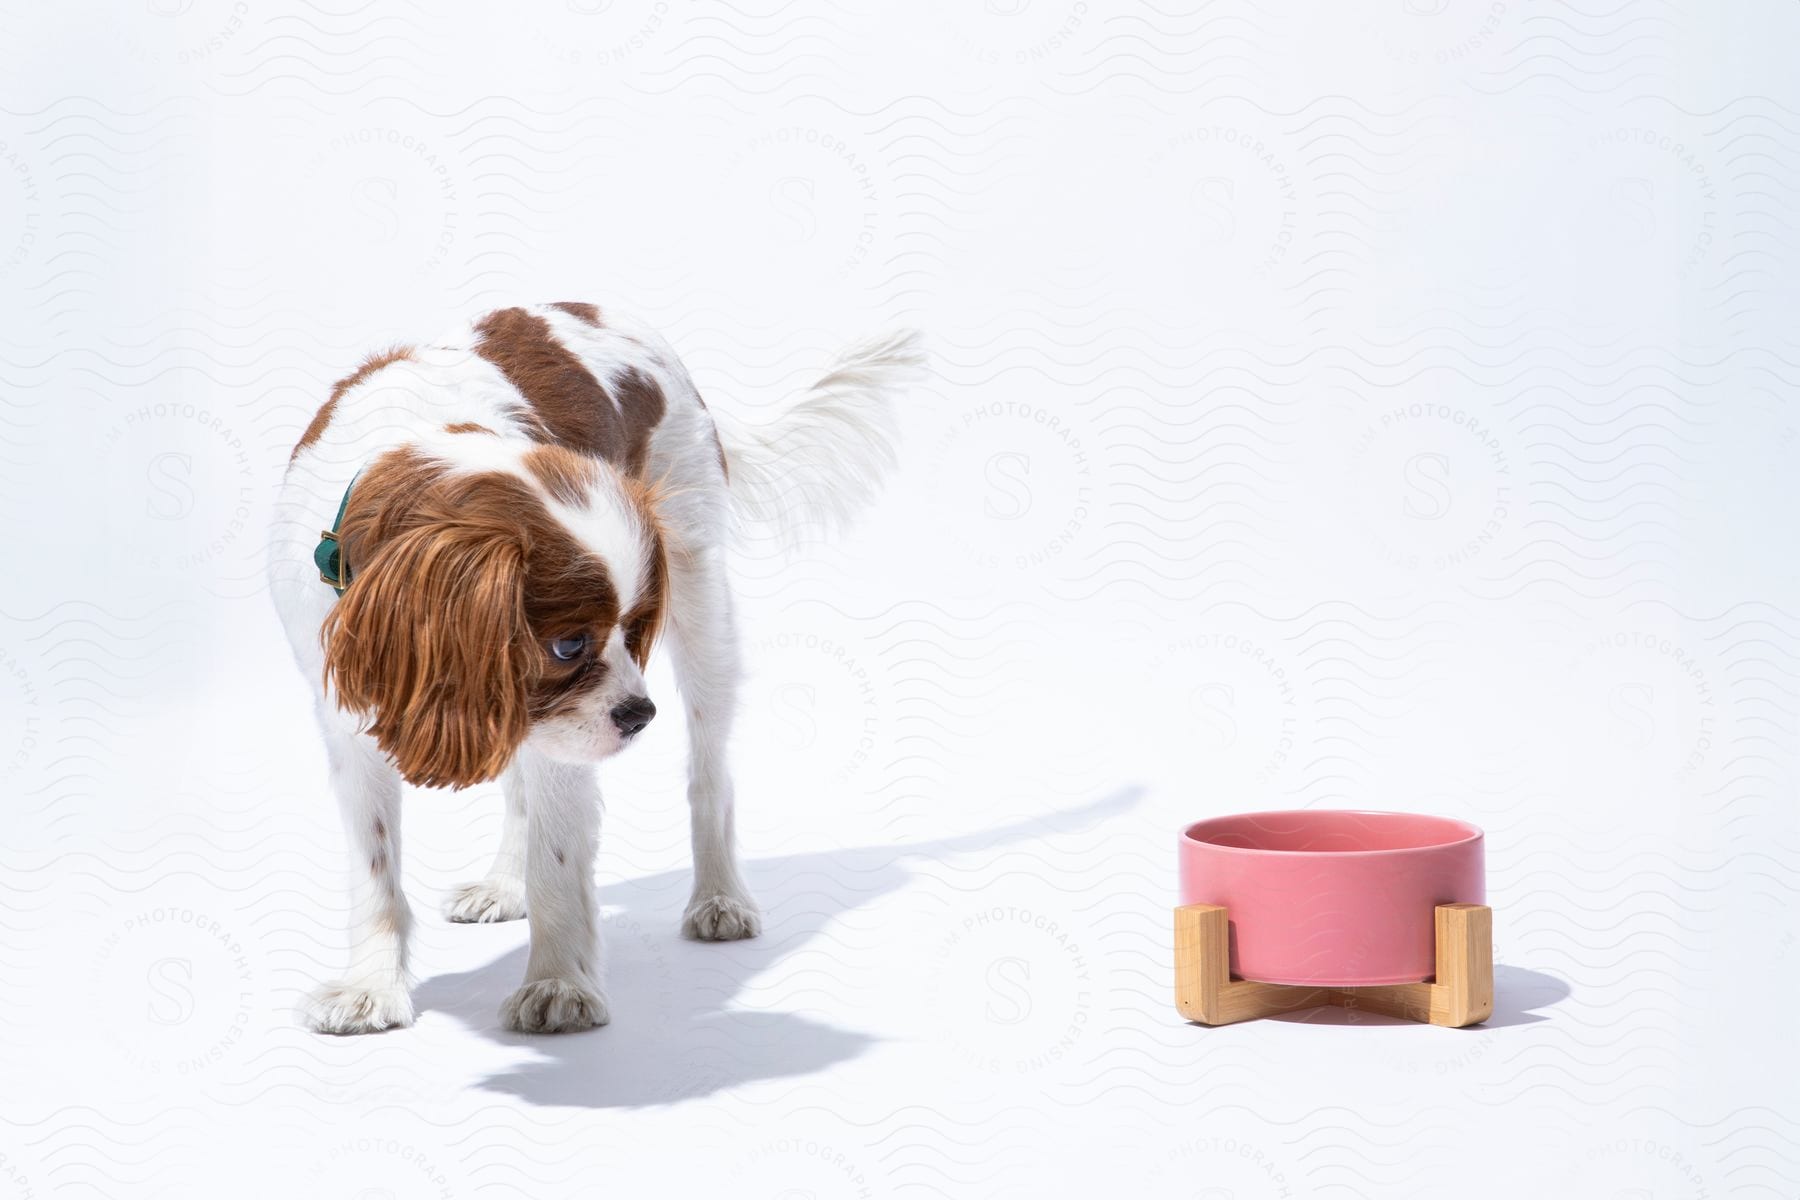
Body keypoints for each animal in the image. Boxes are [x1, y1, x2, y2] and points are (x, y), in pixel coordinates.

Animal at [277, 302, 928, 1036]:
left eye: (635, 629)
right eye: (569, 646)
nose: (640, 714)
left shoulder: (567, 733)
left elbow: (558, 861)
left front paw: (558, 984)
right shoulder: (352, 717)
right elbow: (375, 865)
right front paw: (371, 987)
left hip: (702, 602)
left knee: (710, 773)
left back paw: (720, 898)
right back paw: (504, 883)